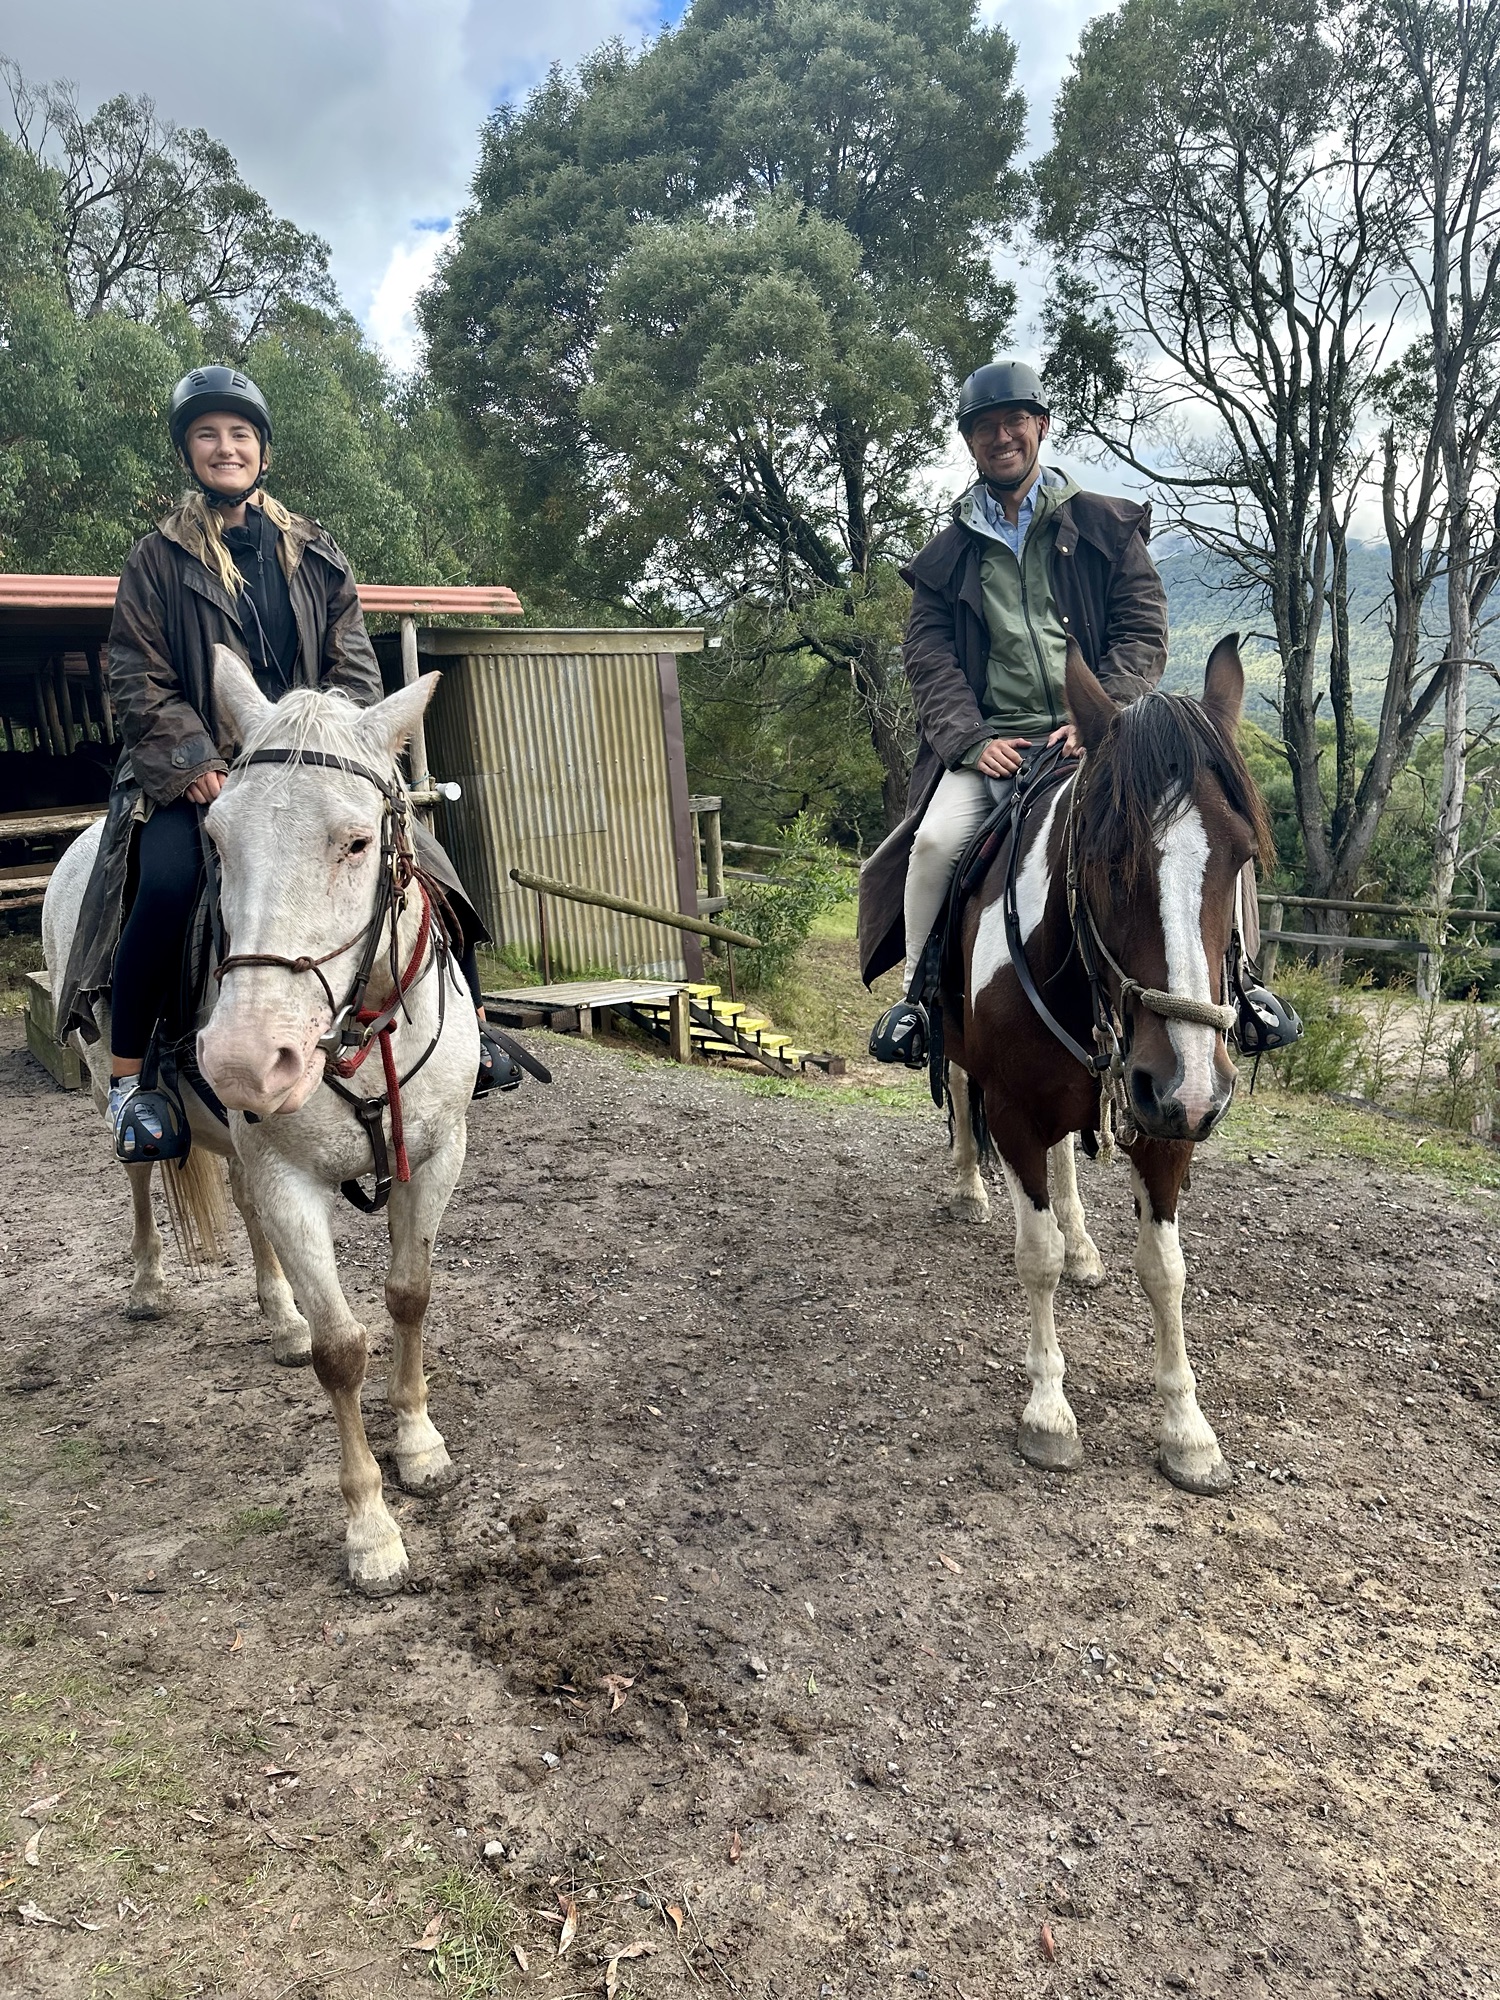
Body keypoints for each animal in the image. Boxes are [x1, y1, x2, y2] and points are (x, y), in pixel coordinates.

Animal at [44, 656, 476, 1592]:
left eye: (356, 842)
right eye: (218, 838)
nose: (245, 1059)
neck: (360, 1030)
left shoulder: (436, 1156)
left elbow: (410, 1296)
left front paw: (420, 1445)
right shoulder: (291, 1180)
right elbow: (341, 1349)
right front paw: (370, 1531)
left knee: (243, 1208)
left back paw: (279, 1318)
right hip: (112, 1089)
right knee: (140, 1178)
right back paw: (147, 1285)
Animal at [944, 632, 1272, 1496]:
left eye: (1240, 855)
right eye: (1102, 852)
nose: (1190, 1085)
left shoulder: (1166, 1125)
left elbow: (1165, 1269)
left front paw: (1188, 1431)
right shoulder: (1015, 1111)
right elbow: (1037, 1256)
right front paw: (1048, 1412)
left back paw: (1087, 1245)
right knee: (956, 1095)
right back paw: (969, 1188)